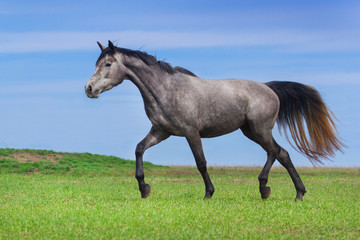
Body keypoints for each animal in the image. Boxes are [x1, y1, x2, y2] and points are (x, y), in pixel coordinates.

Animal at [85, 40, 344, 201]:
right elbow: (139, 149)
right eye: (96, 63)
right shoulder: (161, 131)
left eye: (107, 64)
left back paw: (264, 188)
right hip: (251, 131)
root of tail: (269, 88)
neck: (166, 89)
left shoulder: (191, 132)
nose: (89, 89)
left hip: (260, 130)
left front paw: (208, 193)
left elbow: (201, 163)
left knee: (273, 152)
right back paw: (298, 194)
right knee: (283, 154)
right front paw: (144, 189)